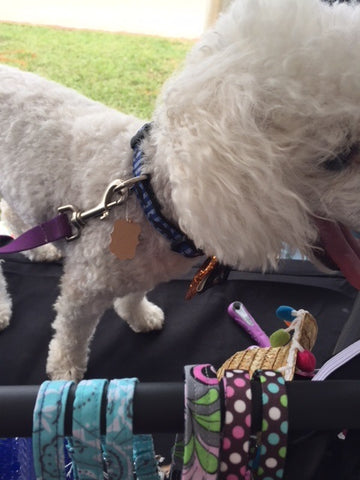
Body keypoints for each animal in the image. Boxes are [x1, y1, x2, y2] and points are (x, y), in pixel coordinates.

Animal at [0, 0, 360, 382]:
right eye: (337, 158)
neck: (148, 198)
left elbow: (134, 295)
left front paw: (140, 316)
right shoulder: (83, 288)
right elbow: (71, 331)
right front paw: (65, 370)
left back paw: (39, 249)